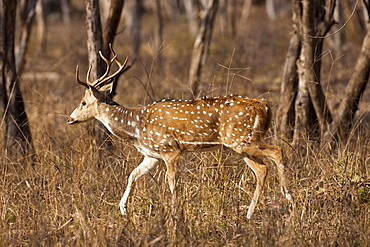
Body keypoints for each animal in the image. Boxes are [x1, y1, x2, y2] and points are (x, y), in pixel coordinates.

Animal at [66, 47, 292, 219]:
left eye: (83, 102)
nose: (70, 118)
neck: (136, 128)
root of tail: (264, 106)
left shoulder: (170, 150)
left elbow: (171, 183)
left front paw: (175, 214)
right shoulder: (152, 155)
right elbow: (132, 175)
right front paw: (123, 209)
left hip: (242, 139)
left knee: (277, 151)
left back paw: (288, 197)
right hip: (242, 144)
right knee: (262, 169)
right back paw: (250, 213)